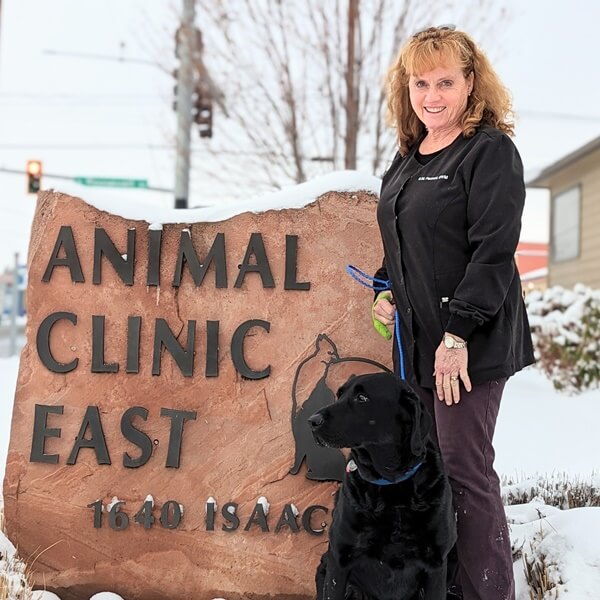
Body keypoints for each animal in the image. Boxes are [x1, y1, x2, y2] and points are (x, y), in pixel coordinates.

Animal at [310, 372, 454, 596]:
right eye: (339, 395)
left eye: (362, 398)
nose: (312, 421)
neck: (391, 487)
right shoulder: (339, 559)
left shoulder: (436, 564)